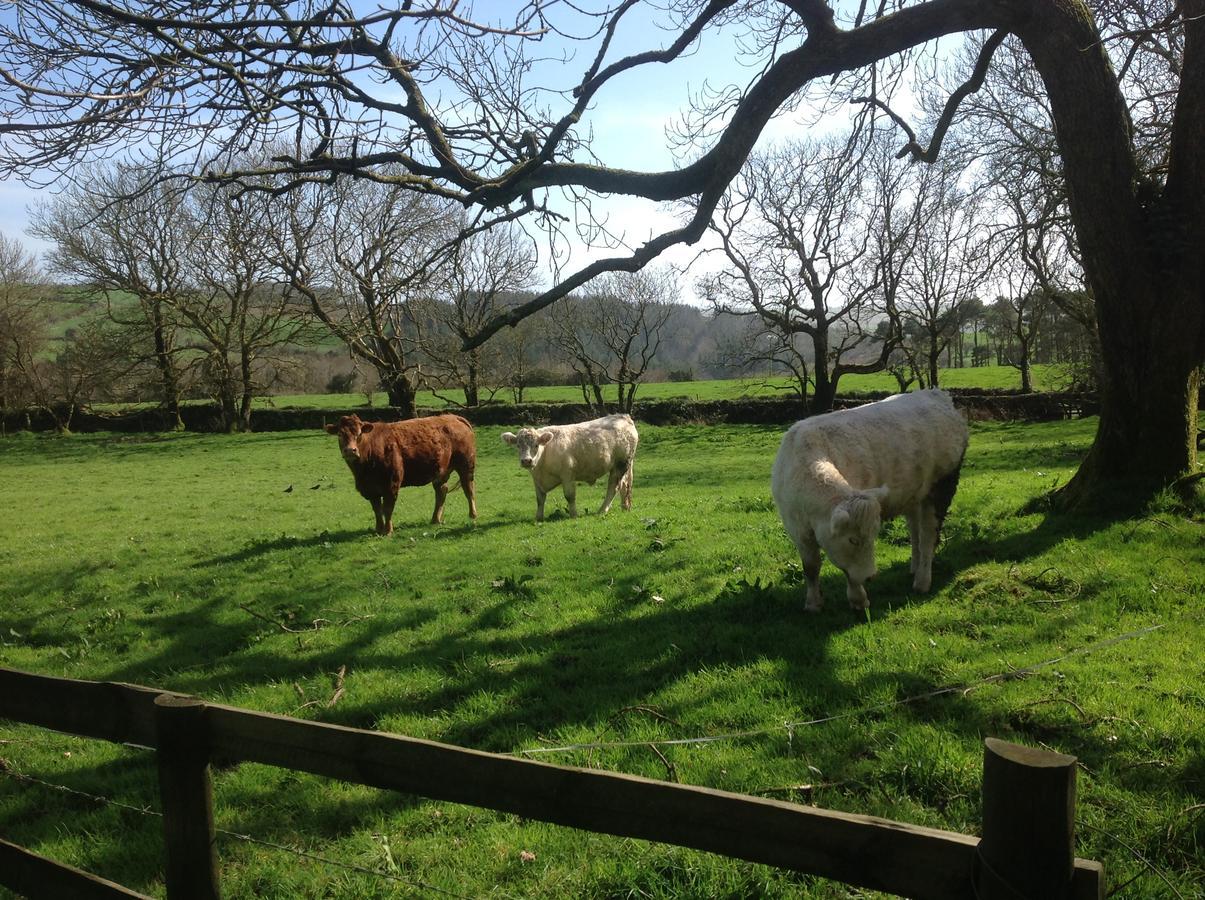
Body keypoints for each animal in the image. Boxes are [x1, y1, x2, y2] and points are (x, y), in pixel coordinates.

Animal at [327, 414, 482, 534]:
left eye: (359, 434)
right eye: (340, 434)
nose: (350, 450)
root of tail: (453, 417)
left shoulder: (391, 484)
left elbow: (387, 508)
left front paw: (388, 530)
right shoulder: (370, 489)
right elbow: (377, 509)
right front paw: (378, 529)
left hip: (466, 465)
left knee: (468, 489)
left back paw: (472, 514)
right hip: (440, 471)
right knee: (441, 492)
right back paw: (435, 519)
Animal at [501, 414, 641, 520]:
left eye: (536, 445)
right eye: (518, 445)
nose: (526, 461)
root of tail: (622, 417)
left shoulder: (567, 475)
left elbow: (569, 496)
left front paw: (574, 515)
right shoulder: (537, 479)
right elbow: (540, 499)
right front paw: (538, 518)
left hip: (620, 465)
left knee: (614, 487)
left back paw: (602, 510)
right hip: (624, 466)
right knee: (625, 486)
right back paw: (625, 508)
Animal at [771, 392, 968, 612]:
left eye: (872, 537)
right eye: (852, 540)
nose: (870, 576)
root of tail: (936, 394)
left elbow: (850, 575)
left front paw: (858, 599)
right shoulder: (797, 530)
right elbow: (811, 567)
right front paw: (813, 603)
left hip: (942, 486)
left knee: (928, 535)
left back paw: (922, 581)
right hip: (915, 495)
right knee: (915, 530)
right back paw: (914, 568)